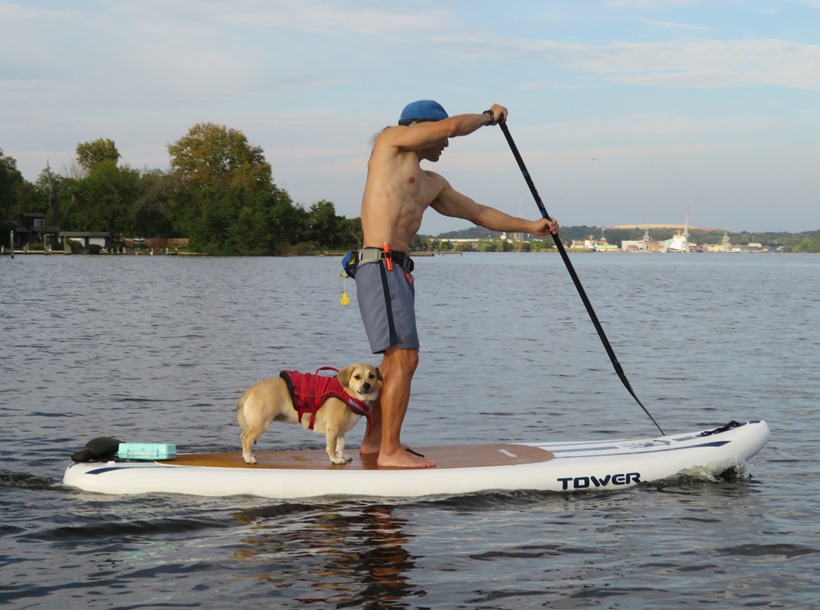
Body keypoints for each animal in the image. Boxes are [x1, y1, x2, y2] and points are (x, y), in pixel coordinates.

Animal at [234, 364, 382, 464]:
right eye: (357, 377)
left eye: (372, 376)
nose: (367, 385)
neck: (348, 393)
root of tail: (251, 389)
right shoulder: (333, 429)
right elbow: (332, 446)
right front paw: (335, 459)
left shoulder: (340, 431)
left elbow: (340, 445)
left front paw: (342, 456)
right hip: (260, 424)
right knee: (245, 438)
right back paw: (248, 457)